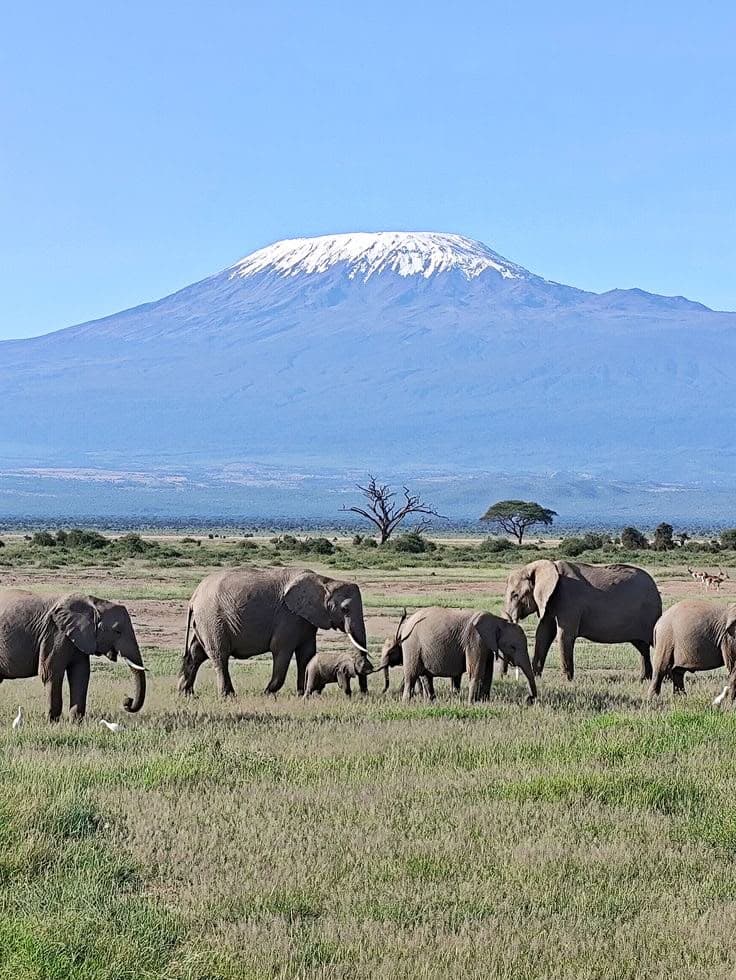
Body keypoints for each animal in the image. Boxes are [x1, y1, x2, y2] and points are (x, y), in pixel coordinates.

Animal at [0, 588, 146, 721]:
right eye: (117, 631)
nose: (127, 701)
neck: (94, 605)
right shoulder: (56, 633)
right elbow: (50, 673)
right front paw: (52, 723)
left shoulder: (79, 637)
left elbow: (80, 674)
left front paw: (75, 723)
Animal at [179, 567, 368, 697]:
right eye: (345, 609)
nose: (363, 694)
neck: (325, 582)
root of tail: (194, 597)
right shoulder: (288, 616)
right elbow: (281, 650)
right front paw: (267, 694)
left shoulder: (305, 619)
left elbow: (306, 655)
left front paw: (302, 695)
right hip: (212, 619)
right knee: (219, 655)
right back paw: (228, 696)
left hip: (204, 621)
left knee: (196, 653)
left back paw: (186, 694)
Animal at [379, 606, 537, 704]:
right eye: (513, 647)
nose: (529, 699)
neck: (498, 621)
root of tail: (406, 626)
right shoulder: (475, 639)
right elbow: (475, 671)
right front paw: (471, 704)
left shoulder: (486, 645)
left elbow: (488, 673)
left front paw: (483, 702)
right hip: (412, 646)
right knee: (412, 675)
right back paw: (407, 702)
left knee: (425, 676)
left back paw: (431, 701)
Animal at [504, 560, 661, 682]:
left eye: (515, 595)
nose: (505, 675)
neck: (547, 566)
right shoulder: (549, 601)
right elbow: (543, 634)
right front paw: (536, 677)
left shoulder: (568, 599)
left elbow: (564, 635)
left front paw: (566, 681)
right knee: (641, 646)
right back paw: (645, 679)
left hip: (650, 613)